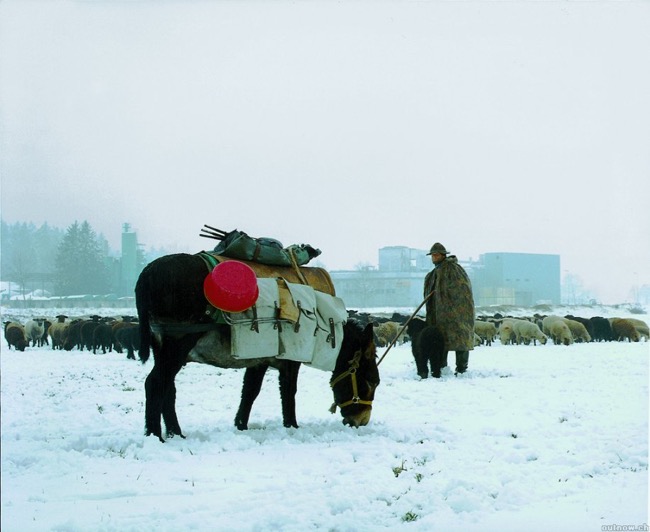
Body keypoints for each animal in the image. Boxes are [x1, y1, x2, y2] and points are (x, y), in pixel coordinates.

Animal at [135, 254, 380, 440]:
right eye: (371, 381)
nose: (361, 421)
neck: (324, 321)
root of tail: (147, 272)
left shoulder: (260, 359)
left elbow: (250, 392)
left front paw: (240, 425)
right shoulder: (290, 361)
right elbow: (289, 393)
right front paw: (292, 427)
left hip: (164, 348)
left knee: (168, 388)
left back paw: (175, 433)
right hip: (178, 343)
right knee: (155, 383)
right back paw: (155, 435)